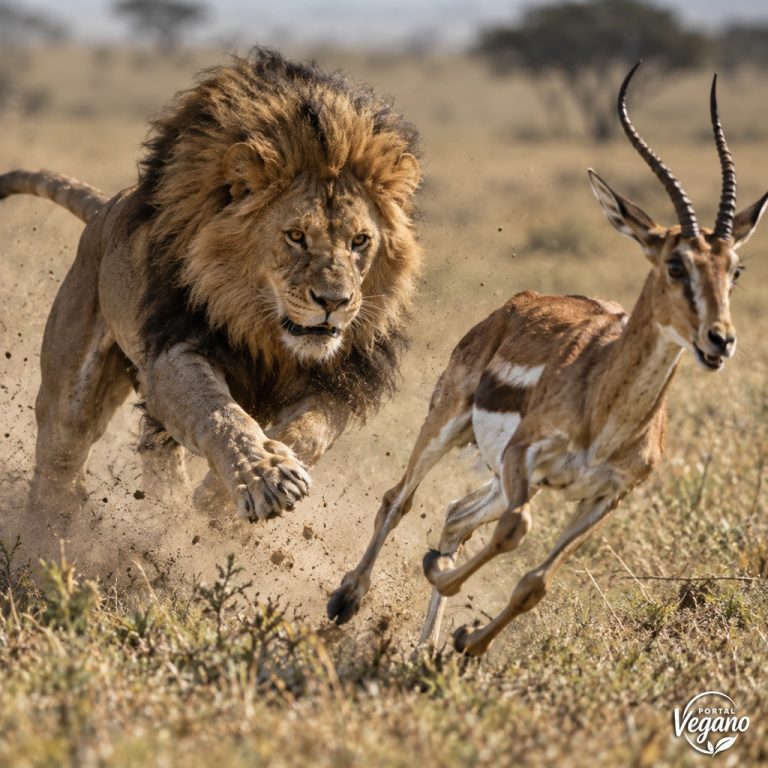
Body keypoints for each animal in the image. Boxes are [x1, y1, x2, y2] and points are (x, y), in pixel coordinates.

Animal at [0, 49, 422, 523]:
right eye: (296, 236)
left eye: (359, 241)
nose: (334, 301)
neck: (266, 330)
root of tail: (105, 208)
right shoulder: (175, 349)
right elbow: (219, 414)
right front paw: (266, 477)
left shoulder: (341, 381)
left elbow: (307, 432)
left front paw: (217, 501)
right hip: (72, 384)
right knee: (60, 453)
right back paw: (56, 528)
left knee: (155, 451)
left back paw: (165, 515)